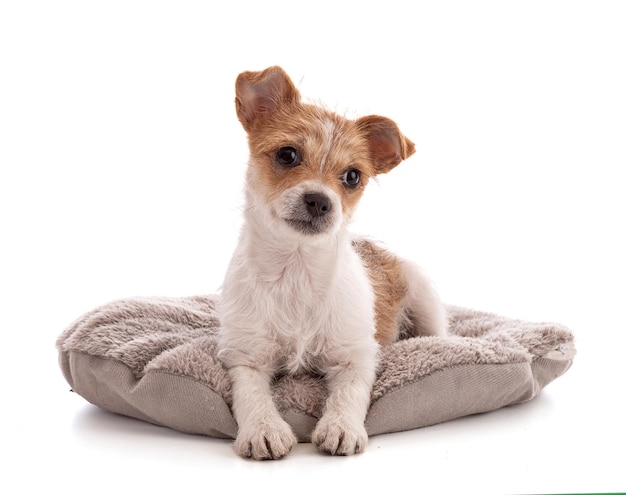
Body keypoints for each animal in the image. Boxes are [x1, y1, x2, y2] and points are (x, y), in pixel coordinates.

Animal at [217, 66, 446, 462]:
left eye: (352, 176)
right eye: (287, 154)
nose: (320, 201)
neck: (296, 269)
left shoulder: (356, 357)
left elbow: (349, 393)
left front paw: (341, 427)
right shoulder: (246, 357)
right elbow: (252, 395)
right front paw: (263, 428)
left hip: (424, 297)